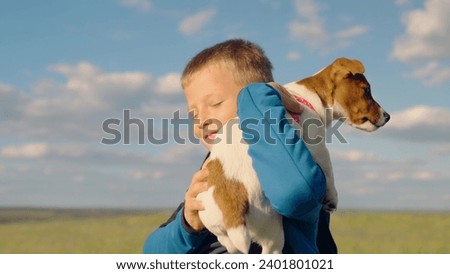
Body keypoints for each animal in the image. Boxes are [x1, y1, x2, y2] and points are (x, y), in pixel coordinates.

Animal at [197, 57, 390, 253]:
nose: (388, 116)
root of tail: (230, 204)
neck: (311, 97)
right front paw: (332, 197)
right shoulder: (317, 147)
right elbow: (329, 172)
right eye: (366, 90)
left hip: (222, 234)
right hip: (272, 231)